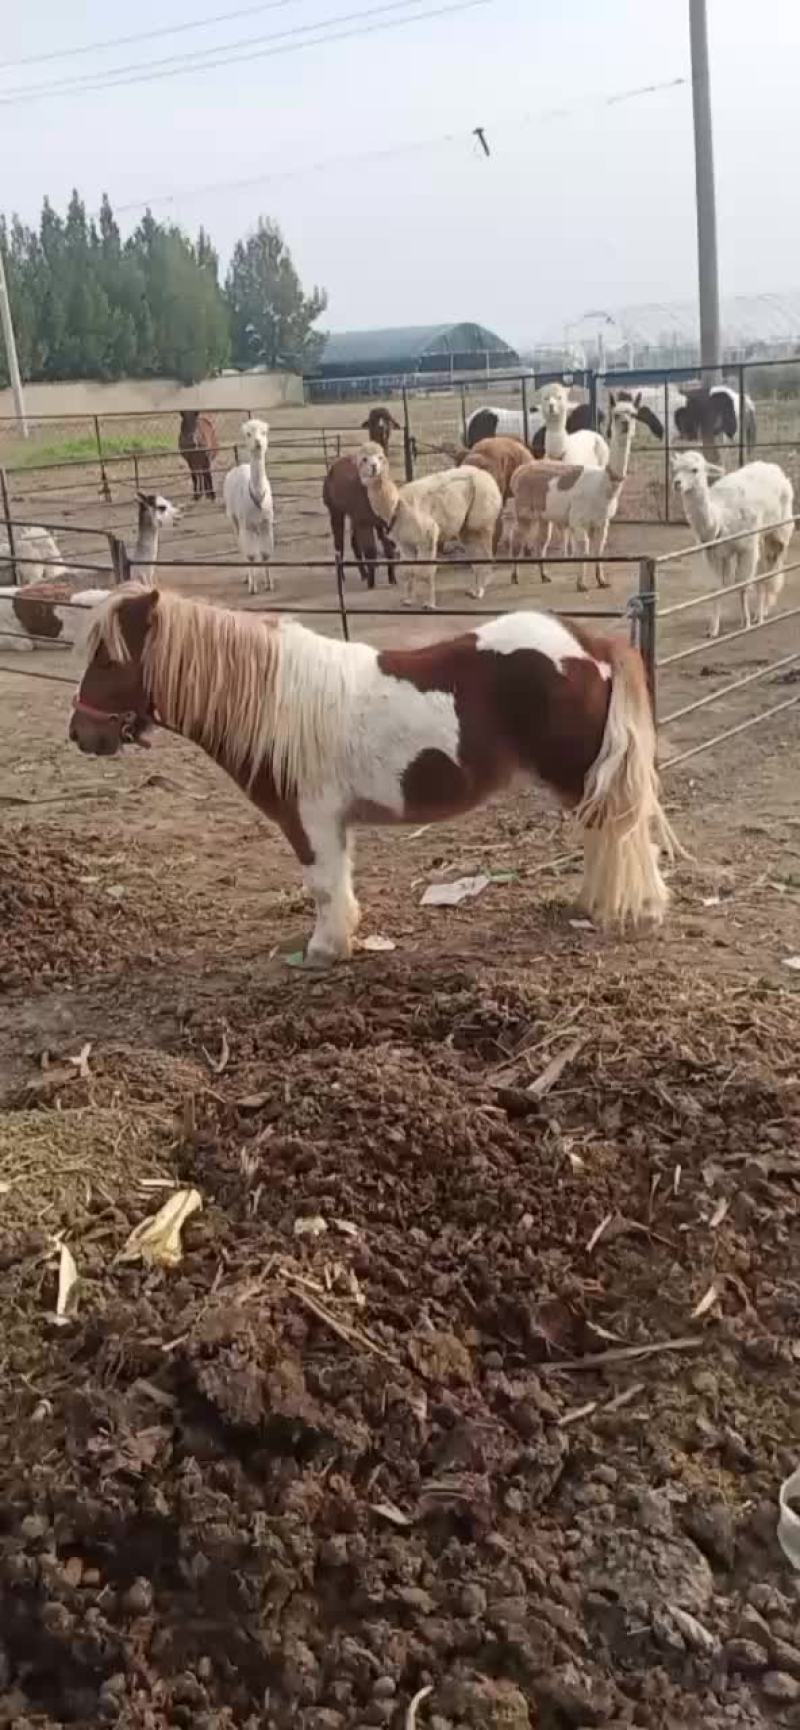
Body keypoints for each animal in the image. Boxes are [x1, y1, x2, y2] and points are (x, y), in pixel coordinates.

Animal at [69, 589, 677, 964]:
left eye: (109, 660)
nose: (80, 735)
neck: (274, 703)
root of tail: (591, 646)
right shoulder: (332, 823)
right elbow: (337, 880)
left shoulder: (308, 820)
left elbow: (320, 883)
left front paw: (325, 949)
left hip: (579, 776)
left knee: (620, 835)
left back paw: (635, 910)